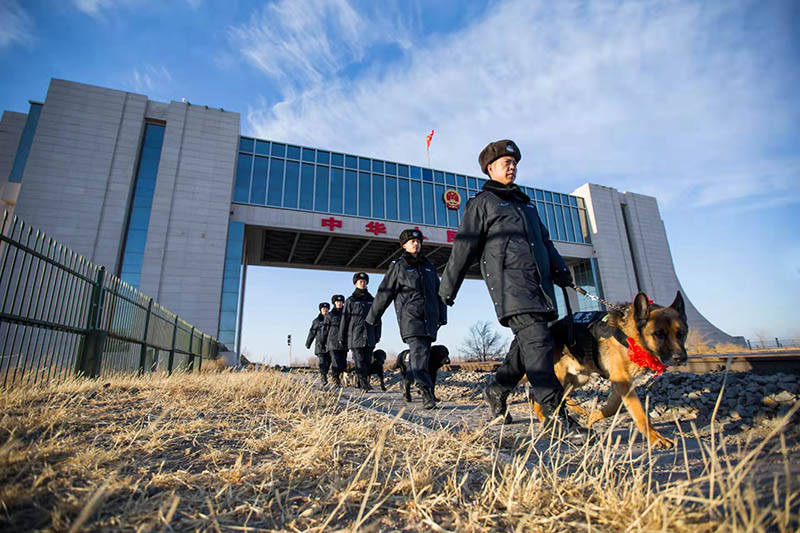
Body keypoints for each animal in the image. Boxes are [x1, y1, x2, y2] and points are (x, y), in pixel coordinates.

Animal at [532, 294, 688, 446]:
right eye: (659, 334)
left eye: (681, 333)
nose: (680, 358)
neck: (631, 336)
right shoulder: (622, 380)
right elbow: (639, 413)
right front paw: (656, 438)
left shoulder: (621, 383)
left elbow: (612, 407)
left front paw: (592, 418)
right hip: (558, 376)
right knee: (537, 397)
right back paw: (546, 420)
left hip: (578, 379)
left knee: (559, 396)